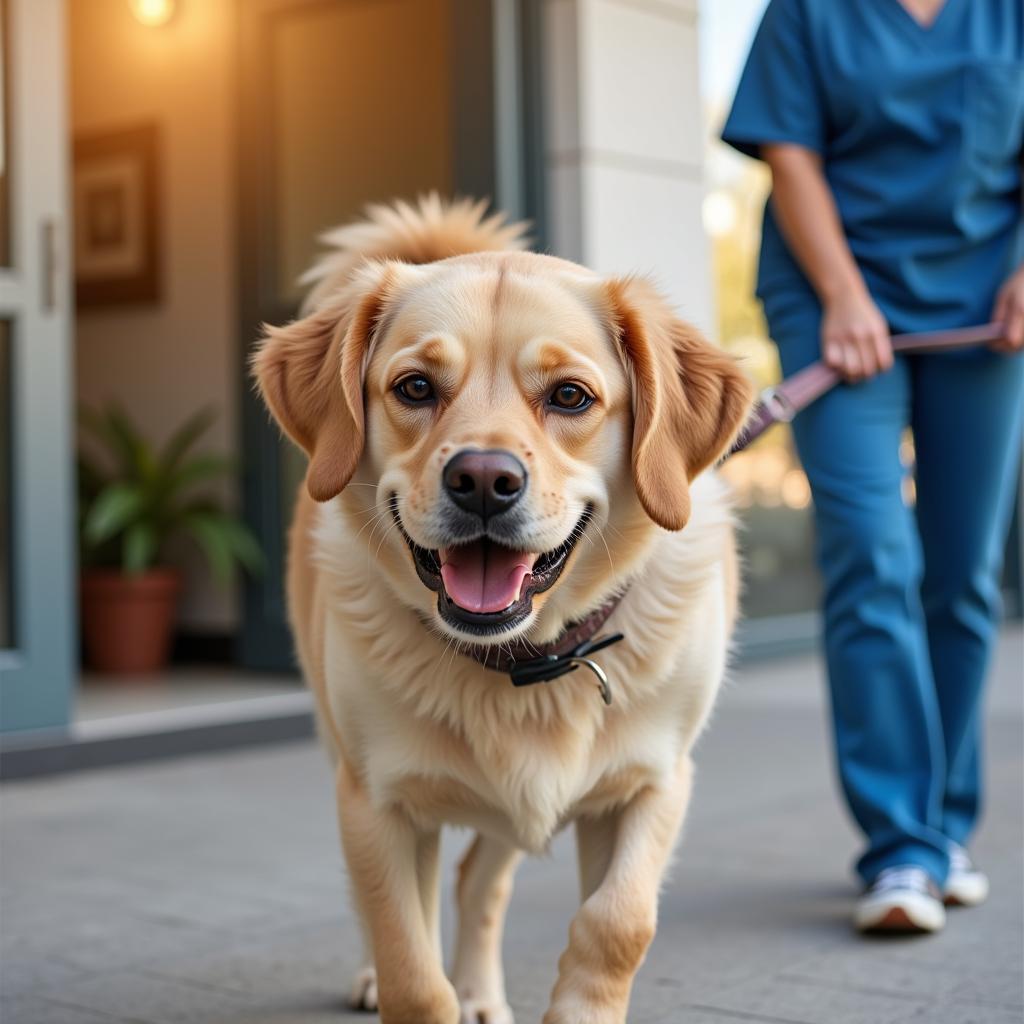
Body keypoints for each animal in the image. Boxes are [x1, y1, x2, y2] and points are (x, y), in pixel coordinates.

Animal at [253, 193, 753, 1024]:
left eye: (570, 396)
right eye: (415, 388)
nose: (483, 480)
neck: (527, 660)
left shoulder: (656, 782)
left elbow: (618, 922)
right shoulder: (379, 801)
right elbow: (411, 968)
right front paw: (410, 982)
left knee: (479, 881)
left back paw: (482, 994)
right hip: (345, 755)